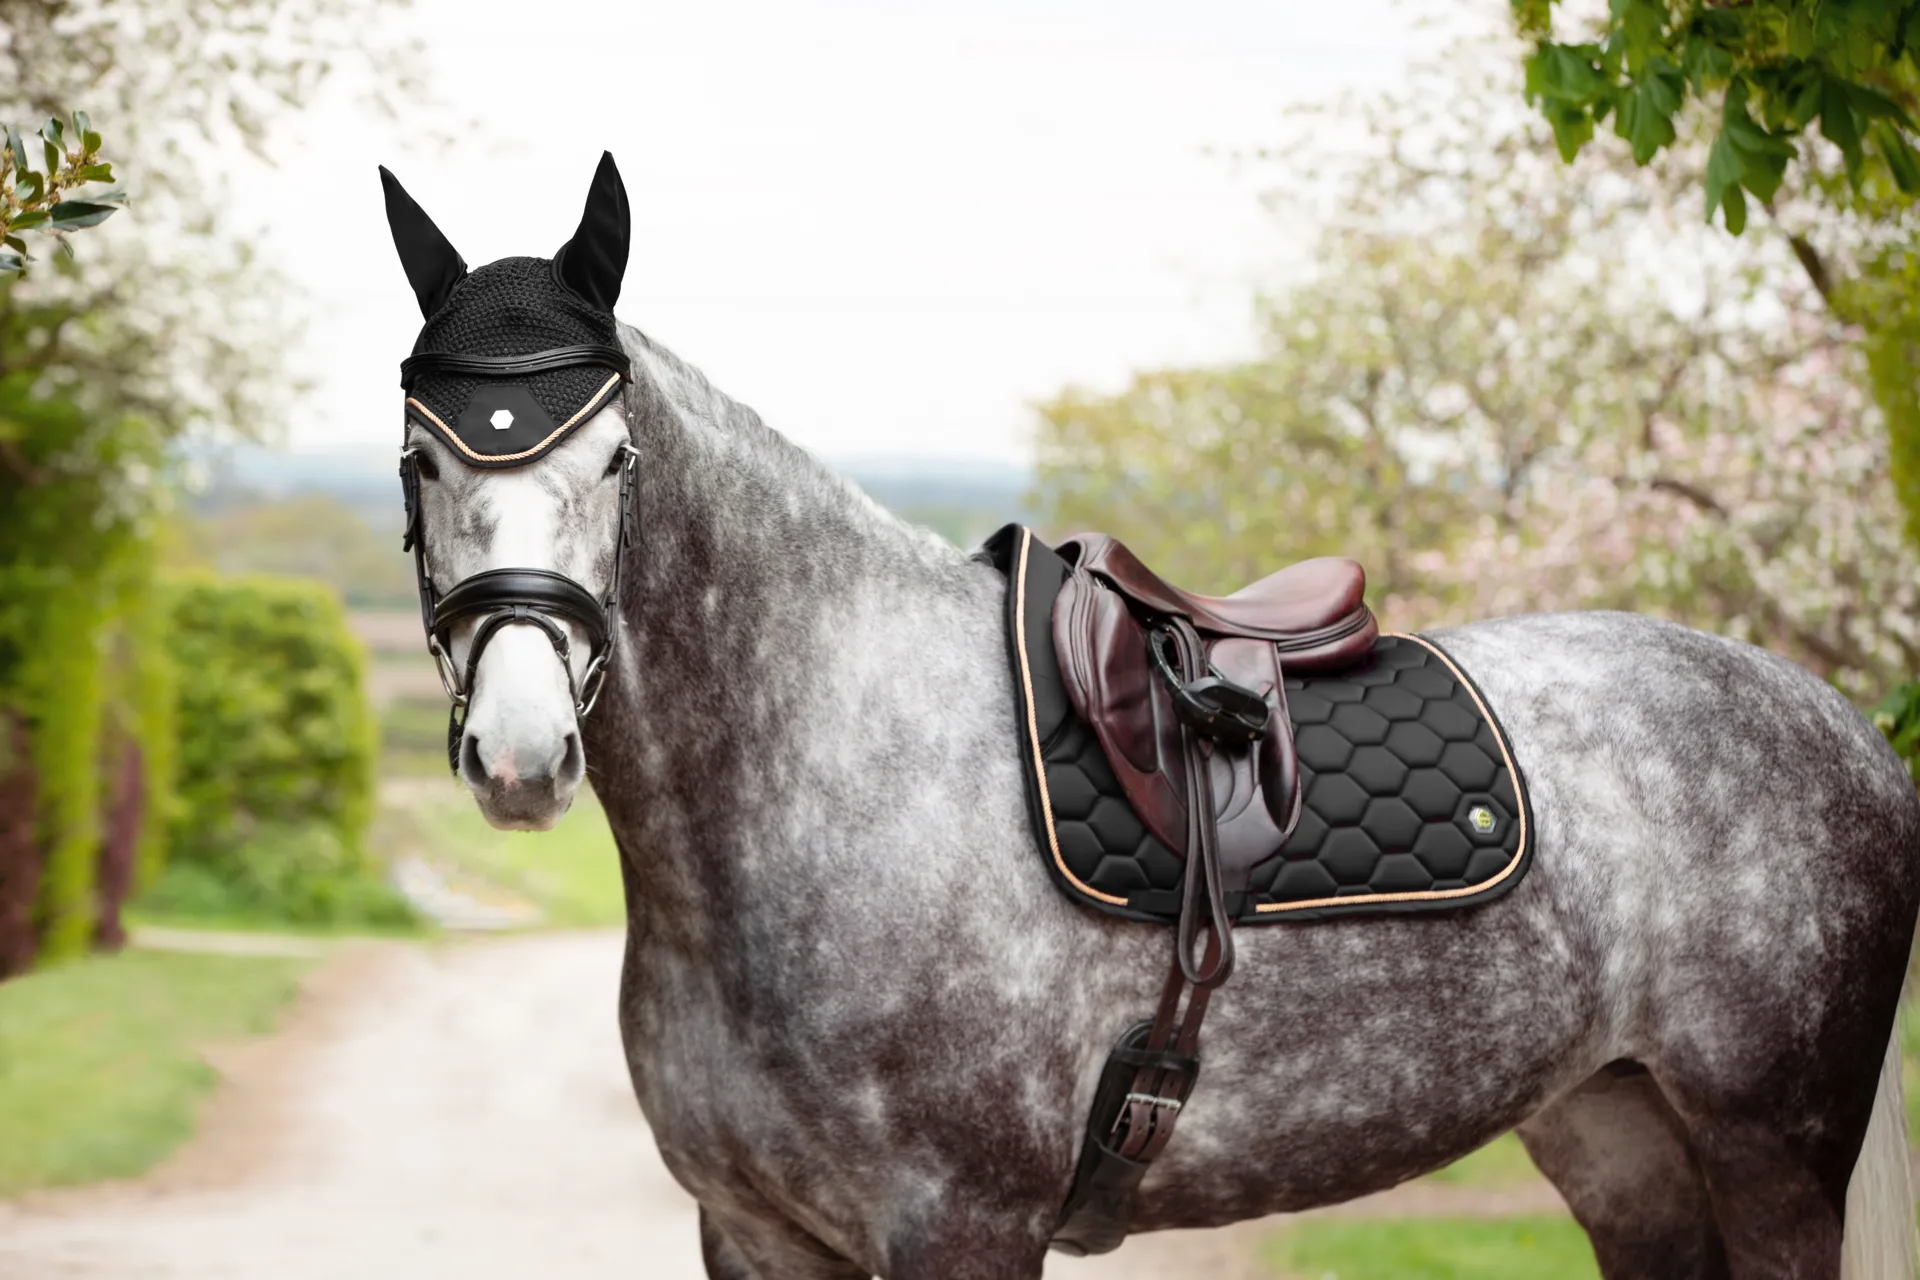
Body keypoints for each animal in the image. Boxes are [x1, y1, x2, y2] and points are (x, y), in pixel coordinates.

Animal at [382, 154, 1920, 1279]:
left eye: (616, 455)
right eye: (419, 458)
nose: (520, 751)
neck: (824, 772)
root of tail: (1846, 730)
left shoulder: (961, 1229)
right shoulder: (755, 1235)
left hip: (1774, 1152)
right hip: (1618, 1132)